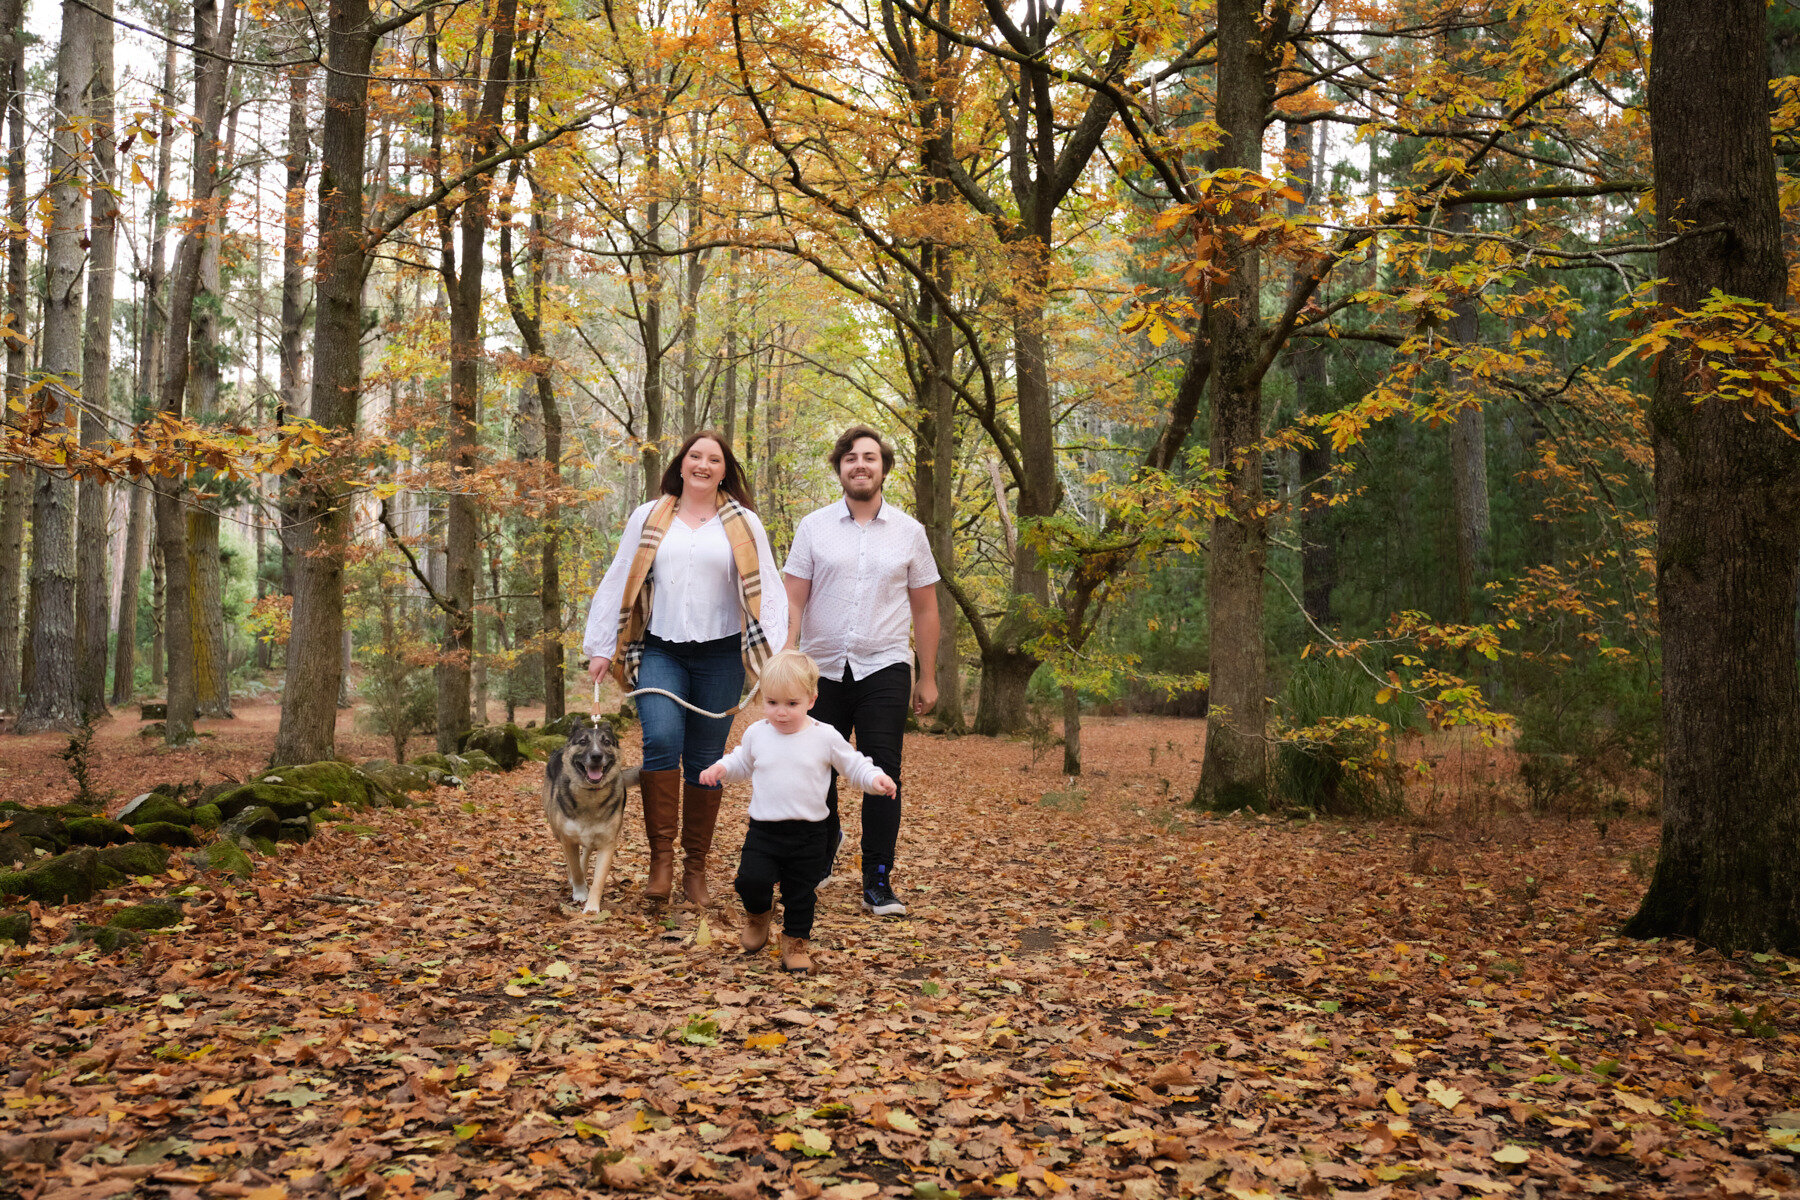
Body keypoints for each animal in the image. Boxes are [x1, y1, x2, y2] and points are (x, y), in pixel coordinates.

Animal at [543, 719, 644, 913]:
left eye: (606, 742)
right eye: (583, 741)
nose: (596, 756)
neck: (591, 794)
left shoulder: (607, 844)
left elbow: (599, 879)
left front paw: (591, 908)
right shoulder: (567, 839)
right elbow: (574, 867)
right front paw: (580, 892)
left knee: (587, 850)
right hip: (556, 831)